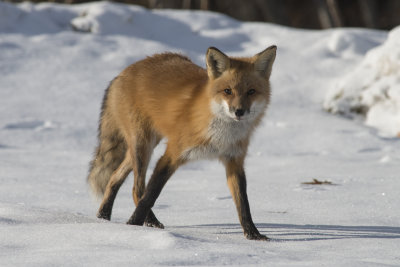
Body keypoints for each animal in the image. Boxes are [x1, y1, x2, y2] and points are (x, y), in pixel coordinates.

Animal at [88, 45, 276, 241]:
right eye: (228, 91)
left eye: (251, 91)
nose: (239, 111)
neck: (221, 135)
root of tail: (124, 72)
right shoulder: (172, 154)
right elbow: (150, 195)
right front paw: (133, 226)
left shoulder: (234, 161)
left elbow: (243, 203)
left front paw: (252, 233)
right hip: (142, 146)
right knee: (137, 190)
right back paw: (146, 222)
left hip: (143, 147)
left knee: (114, 177)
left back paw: (103, 216)